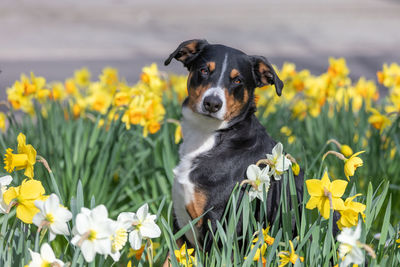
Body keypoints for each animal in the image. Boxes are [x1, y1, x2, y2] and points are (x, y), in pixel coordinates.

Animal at [162, 39, 304, 255]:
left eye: (237, 81)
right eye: (204, 70)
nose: (212, 103)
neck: (210, 135)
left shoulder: (217, 226)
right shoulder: (179, 225)